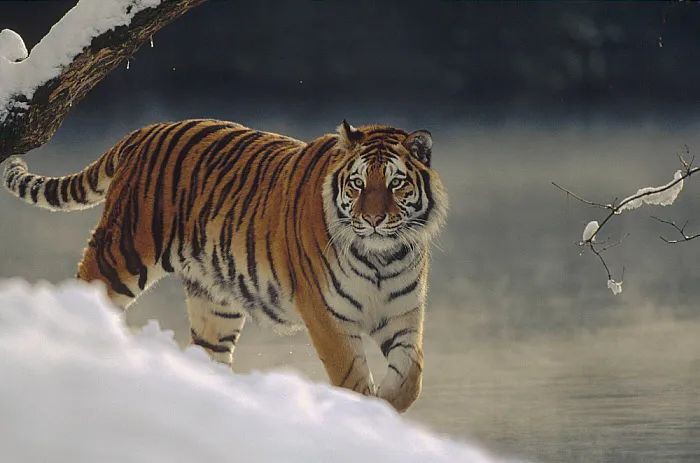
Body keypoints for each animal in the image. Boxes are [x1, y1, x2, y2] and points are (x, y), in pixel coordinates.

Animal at [3, 119, 447, 412]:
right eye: (357, 184)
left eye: (395, 183)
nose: (372, 219)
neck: (382, 256)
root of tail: (144, 131)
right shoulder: (328, 318)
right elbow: (352, 377)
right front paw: (367, 412)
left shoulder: (403, 313)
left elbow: (412, 376)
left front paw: (388, 406)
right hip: (121, 253)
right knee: (85, 286)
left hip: (215, 301)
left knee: (210, 353)